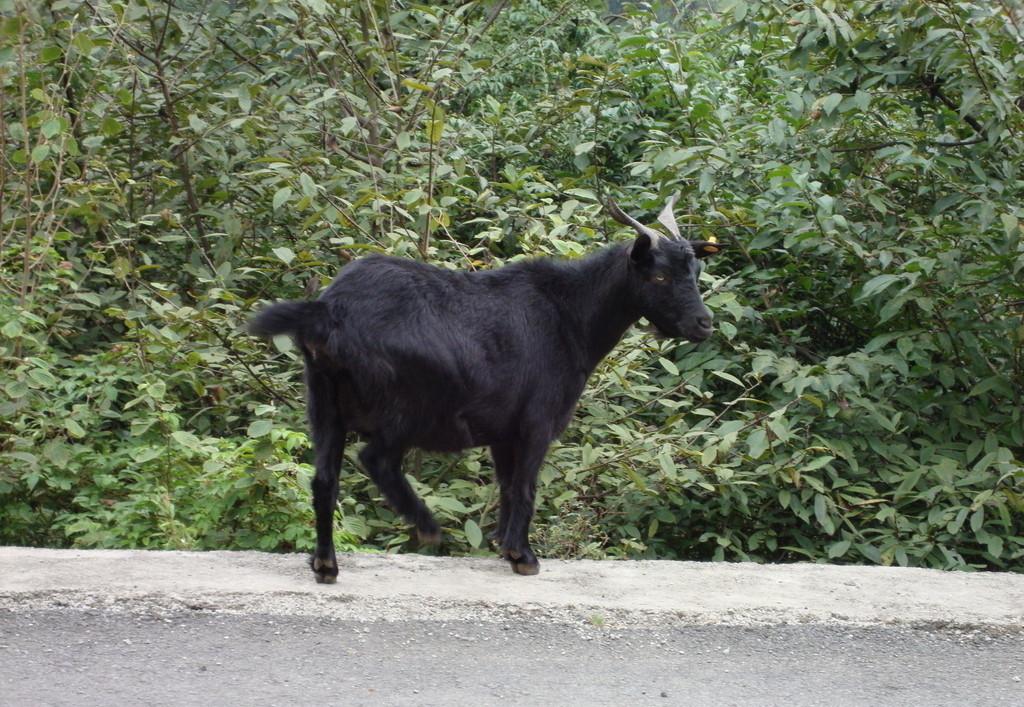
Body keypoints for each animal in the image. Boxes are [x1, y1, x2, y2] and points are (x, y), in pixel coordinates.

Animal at [250, 195, 724, 581]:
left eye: (696, 270)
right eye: (659, 278)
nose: (704, 324)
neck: (570, 315)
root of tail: (330, 310)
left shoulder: (502, 432)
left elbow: (508, 486)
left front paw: (504, 547)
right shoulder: (537, 422)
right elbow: (526, 487)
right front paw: (524, 557)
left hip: (324, 405)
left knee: (324, 481)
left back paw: (325, 565)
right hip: (407, 406)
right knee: (376, 459)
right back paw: (426, 527)